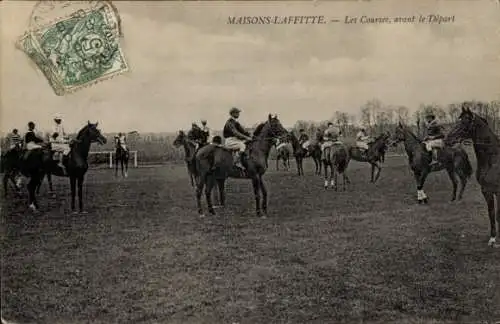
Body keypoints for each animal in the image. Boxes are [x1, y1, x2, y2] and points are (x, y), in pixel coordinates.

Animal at [446, 105, 500, 247]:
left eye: (465, 121)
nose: (447, 139)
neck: (493, 159)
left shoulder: (498, 192)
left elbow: (498, 215)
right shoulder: (486, 191)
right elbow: (492, 214)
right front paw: (492, 238)